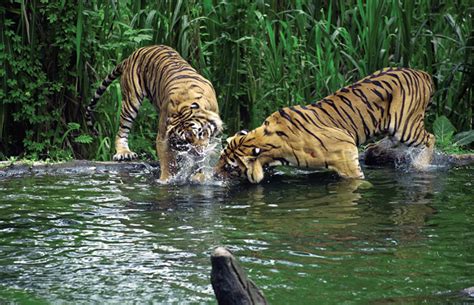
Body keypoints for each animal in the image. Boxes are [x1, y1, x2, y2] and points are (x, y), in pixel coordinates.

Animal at [86, 44, 223, 180]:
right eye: (184, 141)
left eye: (200, 132)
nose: (198, 153)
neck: (184, 103)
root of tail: (132, 55)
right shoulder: (163, 136)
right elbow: (167, 162)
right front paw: (165, 180)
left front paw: (199, 174)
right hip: (131, 100)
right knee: (121, 131)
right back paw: (124, 153)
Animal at [214, 67, 434, 182]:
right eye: (220, 158)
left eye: (230, 167)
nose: (213, 175)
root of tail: (422, 73)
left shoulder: (346, 148)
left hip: (404, 126)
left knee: (430, 138)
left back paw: (421, 164)